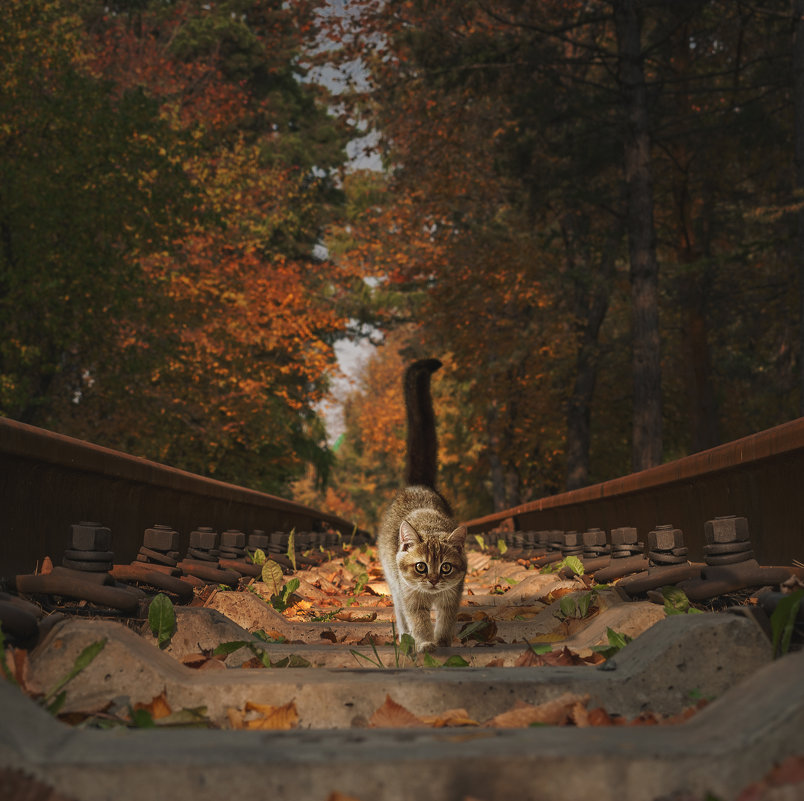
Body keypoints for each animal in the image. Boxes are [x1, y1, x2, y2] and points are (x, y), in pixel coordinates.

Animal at [378, 360, 468, 652]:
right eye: (421, 567)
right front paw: (426, 643)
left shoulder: (452, 596)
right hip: (394, 584)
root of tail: (419, 484)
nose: (433, 580)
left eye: (446, 568)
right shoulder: (411, 599)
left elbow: (446, 621)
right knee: (400, 613)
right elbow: (418, 622)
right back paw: (405, 638)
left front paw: (442, 641)